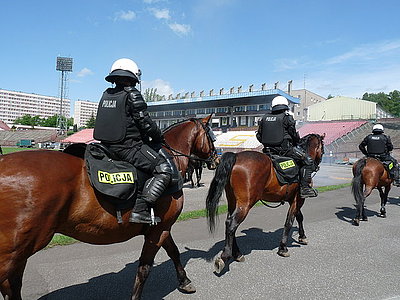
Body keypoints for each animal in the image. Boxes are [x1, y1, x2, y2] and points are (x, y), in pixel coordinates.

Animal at [0, 115, 217, 300]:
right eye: (212, 136)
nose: (215, 159)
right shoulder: (159, 230)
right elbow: (145, 268)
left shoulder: (160, 228)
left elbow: (173, 252)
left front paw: (184, 281)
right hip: (15, 251)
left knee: (12, 286)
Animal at [205, 134, 324, 274]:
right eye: (322, 148)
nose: (317, 163)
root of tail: (236, 156)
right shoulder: (299, 199)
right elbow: (289, 222)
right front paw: (283, 247)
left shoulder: (293, 199)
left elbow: (299, 217)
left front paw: (302, 236)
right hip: (245, 204)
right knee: (231, 224)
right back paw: (225, 257)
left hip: (233, 202)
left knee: (229, 224)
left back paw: (237, 254)